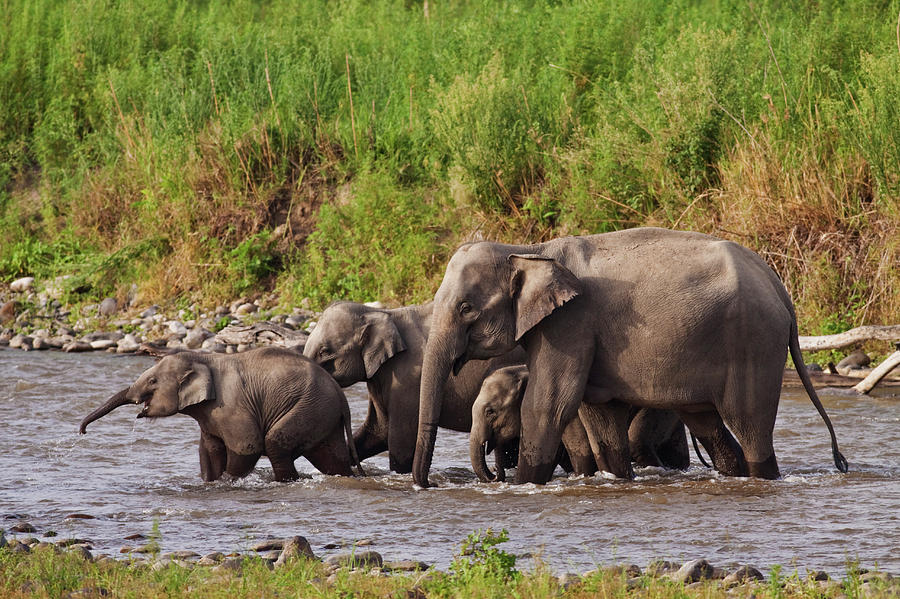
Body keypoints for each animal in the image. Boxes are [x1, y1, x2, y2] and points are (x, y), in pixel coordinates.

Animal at [79, 346, 364, 482]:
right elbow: (209, 451)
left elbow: (247, 446)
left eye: (152, 381)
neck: (202, 357)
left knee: (275, 443)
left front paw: (228, 482)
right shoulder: (209, 415)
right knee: (331, 457)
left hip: (309, 407)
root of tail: (341, 395)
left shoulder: (231, 405)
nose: (81, 431)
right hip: (322, 414)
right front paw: (211, 482)